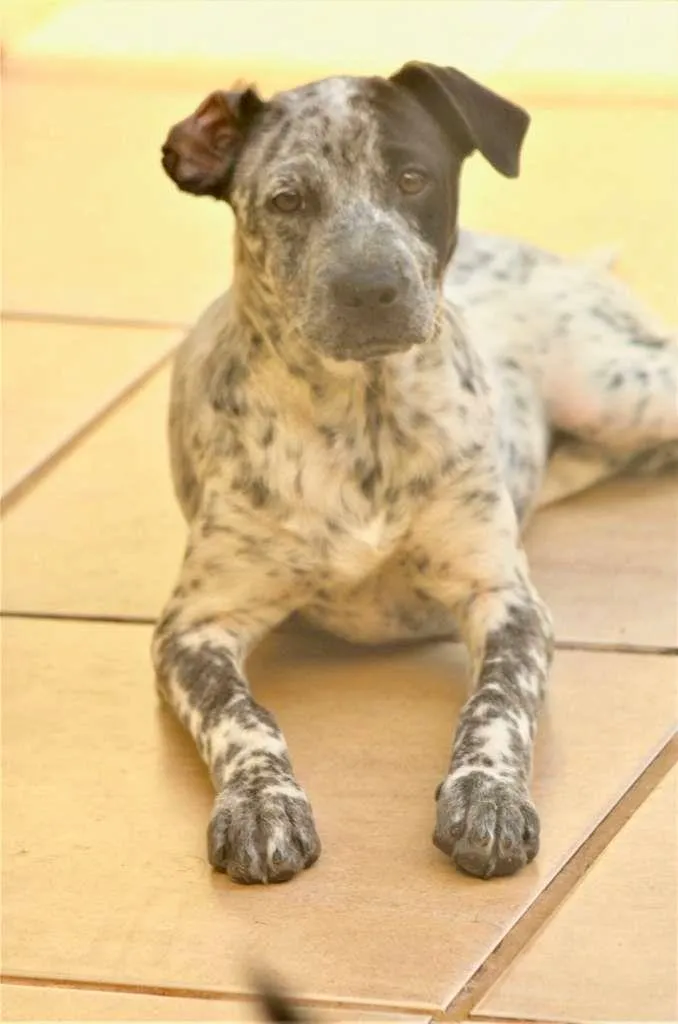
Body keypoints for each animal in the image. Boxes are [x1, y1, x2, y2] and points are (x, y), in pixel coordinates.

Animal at [155, 62, 677, 885]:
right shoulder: (195, 627)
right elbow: (241, 716)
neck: (362, 414)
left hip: (619, 386)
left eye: (412, 178)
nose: (371, 287)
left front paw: (487, 798)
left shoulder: (504, 599)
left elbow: (496, 705)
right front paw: (261, 805)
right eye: (287, 200)